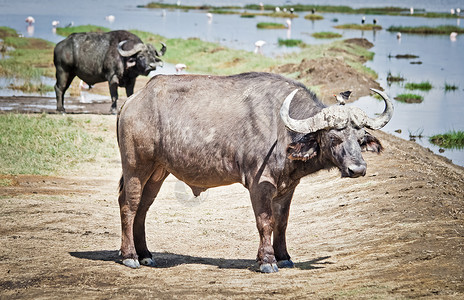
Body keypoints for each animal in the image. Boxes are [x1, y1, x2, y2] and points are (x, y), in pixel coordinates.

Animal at [116, 72, 392, 272]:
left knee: (143, 207)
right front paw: (267, 261)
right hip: (136, 165)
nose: (357, 169)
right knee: (129, 205)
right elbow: (265, 222)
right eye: (334, 137)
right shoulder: (260, 184)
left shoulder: (287, 187)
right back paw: (130, 256)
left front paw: (284, 257)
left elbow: (282, 222)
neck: (282, 130)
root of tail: (132, 100)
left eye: (360, 137)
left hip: (157, 171)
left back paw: (145, 254)